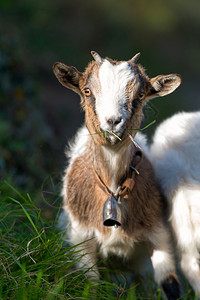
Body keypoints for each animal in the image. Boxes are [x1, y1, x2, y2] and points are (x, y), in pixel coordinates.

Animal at [52, 50, 181, 298]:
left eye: (140, 94)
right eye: (87, 90)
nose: (112, 121)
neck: (112, 189)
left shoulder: (159, 235)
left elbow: (170, 284)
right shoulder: (81, 238)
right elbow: (90, 285)